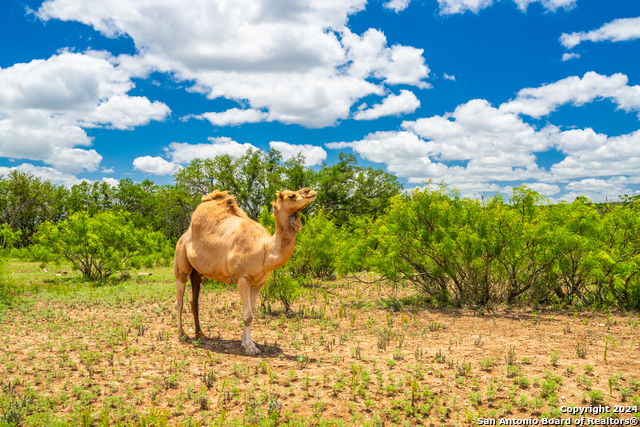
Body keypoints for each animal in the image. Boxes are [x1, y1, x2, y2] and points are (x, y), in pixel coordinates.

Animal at [174, 189, 316, 356]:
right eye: (291, 195)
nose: (310, 191)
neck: (264, 250)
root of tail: (185, 233)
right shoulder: (243, 278)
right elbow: (248, 315)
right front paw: (250, 347)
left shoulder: (259, 283)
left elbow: (252, 311)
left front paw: (245, 340)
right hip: (181, 259)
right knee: (179, 298)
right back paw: (181, 334)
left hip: (198, 272)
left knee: (194, 299)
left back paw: (200, 333)